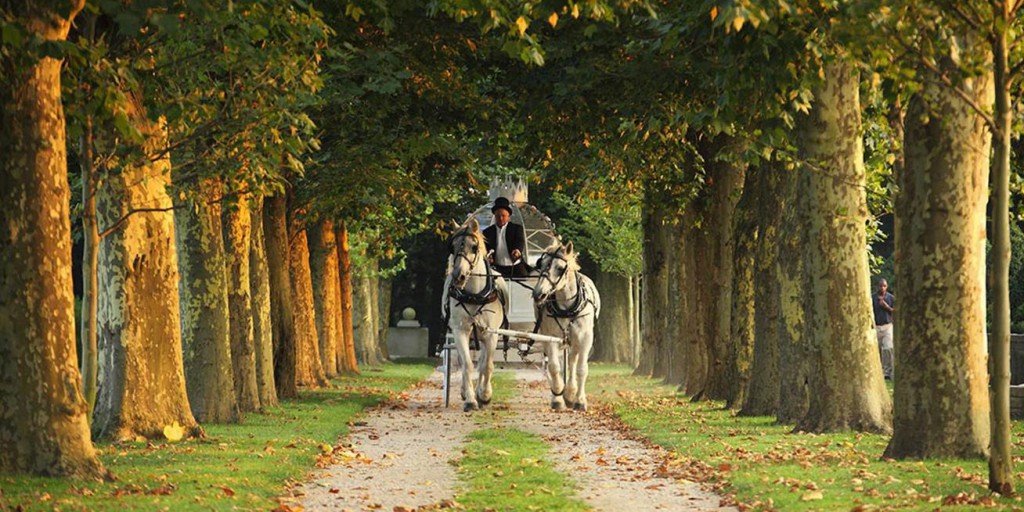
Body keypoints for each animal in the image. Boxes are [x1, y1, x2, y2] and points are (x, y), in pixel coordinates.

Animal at [442, 219, 505, 411]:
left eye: (474, 247)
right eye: (452, 247)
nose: (459, 276)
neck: (474, 295)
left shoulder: (491, 334)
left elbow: (487, 366)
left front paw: (484, 396)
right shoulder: (460, 331)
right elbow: (467, 365)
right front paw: (470, 400)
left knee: (484, 361)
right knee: (463, 361)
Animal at [536, 240, 598, 411]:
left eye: (559, 268)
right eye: (541, 264)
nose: (539, 294)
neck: (567, 308)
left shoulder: (585, 339)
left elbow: (581, 369)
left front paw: (579, 400)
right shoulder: (550, 338)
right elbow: (554, 367)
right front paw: (558, 395)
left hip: (574, 341)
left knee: (572, 361)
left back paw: (571, 393)